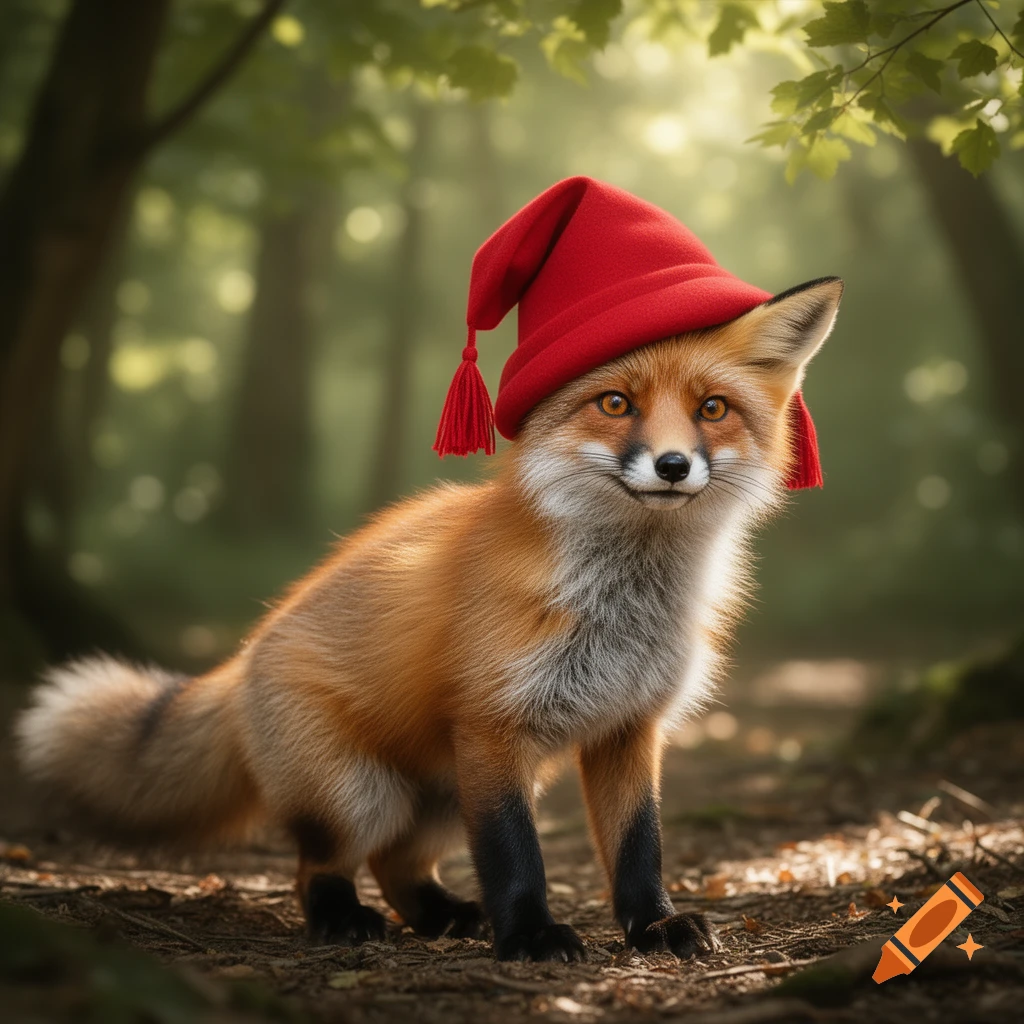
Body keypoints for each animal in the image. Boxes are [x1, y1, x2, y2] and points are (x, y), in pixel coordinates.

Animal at [15, 275, 843, 962]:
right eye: (615, 404)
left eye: (712, 409)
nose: (673, 465)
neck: (622, 608)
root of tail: (244, 654)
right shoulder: (492, 727)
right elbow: (515, 856)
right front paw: (531, 936)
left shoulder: (628, 727)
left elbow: (640, 848)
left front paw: (654, 927)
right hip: (361, 793)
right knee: (319, 865)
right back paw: (344, 920)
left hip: (443, 796)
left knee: (397, 864)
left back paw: (445, 915)